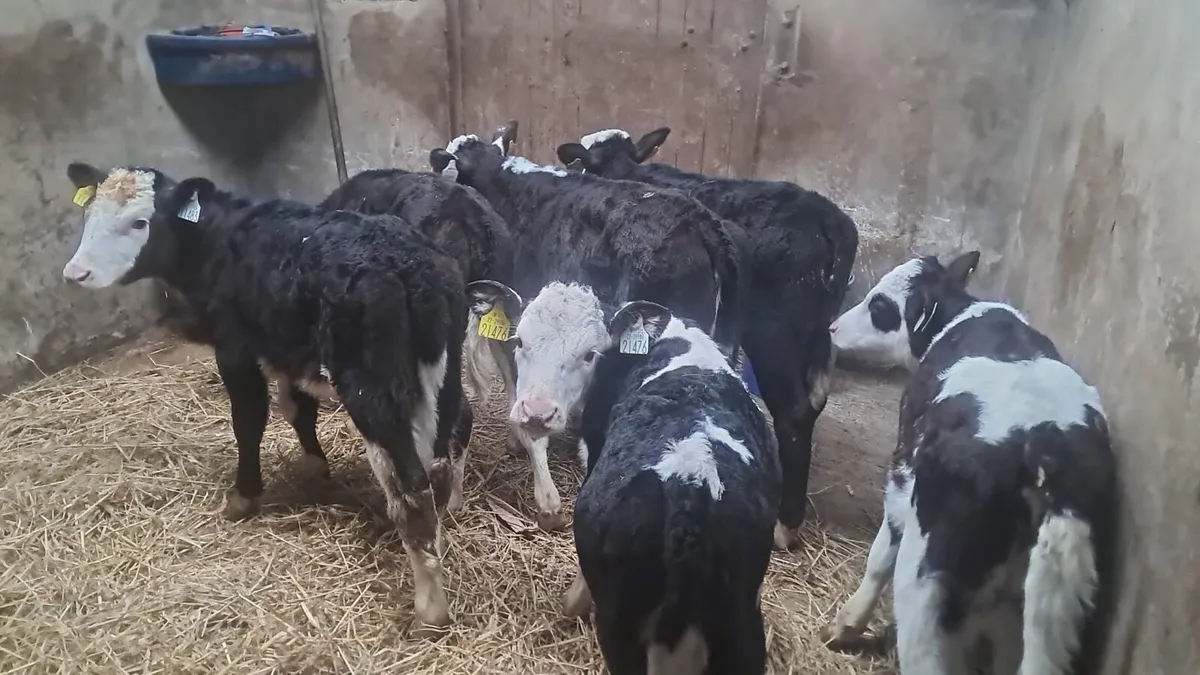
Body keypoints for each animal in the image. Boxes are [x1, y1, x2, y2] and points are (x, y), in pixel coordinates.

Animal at [62, 163, 473, 630]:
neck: (222, 240)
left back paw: (430, 608)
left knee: (413, 489)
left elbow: (249, 420)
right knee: (444, 451)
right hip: (441, 371)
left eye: (139, 223)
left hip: (372, 388)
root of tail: (409, 267)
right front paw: (314, 466)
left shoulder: (235, 347)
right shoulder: (286, 350)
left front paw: (243, 496)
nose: (76, 273)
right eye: (89, 211)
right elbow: (299, 410)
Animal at [556, 126, 859, 549]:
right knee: (815, 398)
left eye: (583, 162)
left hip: (774, 333)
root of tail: (828, 221)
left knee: (795, 410)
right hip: (817, 332)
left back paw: (786, 523)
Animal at [821, 251, 1117, 675]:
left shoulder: (903, 470)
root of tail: (1042, 446)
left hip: (924, 577)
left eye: (879, 306)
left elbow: (880, 553)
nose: (832, 327)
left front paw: (846, 625)